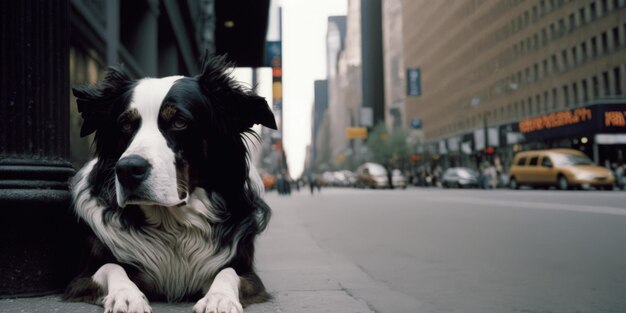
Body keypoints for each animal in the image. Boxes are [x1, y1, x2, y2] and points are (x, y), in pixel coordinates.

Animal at [63, 56, 276, 312]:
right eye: (125, 125)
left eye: (179, 122)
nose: (127, 169)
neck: (172, 224)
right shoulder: (80, 278)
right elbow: (111, 267)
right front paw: (126, 295)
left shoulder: (248, 273)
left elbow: (228, 272)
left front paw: (219, 298)